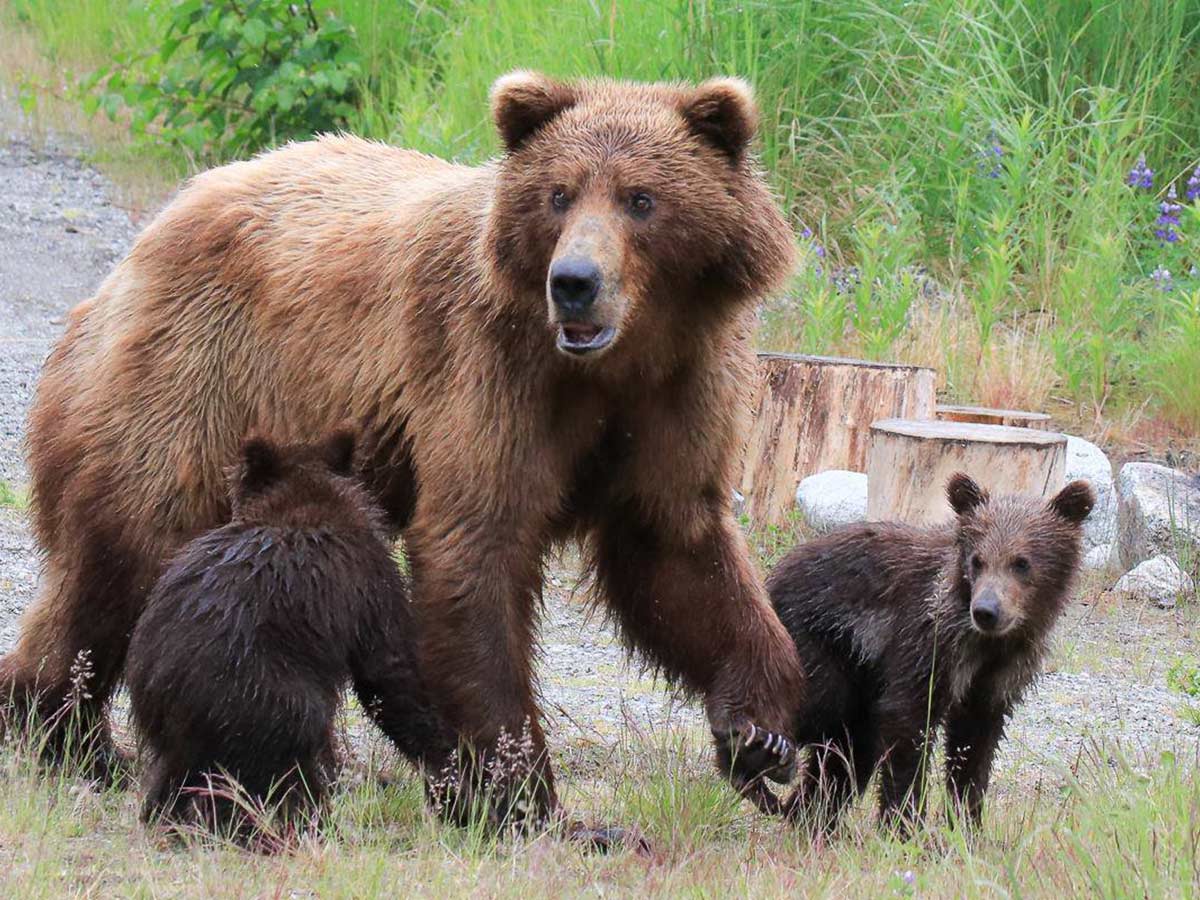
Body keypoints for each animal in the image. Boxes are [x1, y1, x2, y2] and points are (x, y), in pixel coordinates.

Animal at [4, 72, 806, 825]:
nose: (575, 282)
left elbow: (675, 548)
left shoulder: (678, 393)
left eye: (641, 198)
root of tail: (149, 237)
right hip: (192, 378)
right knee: (125, 549)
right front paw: (518, 792)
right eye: (558, 195)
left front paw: (759, 735)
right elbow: (475, 545)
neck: (613, 362)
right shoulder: (488, 370)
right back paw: (69, 734)